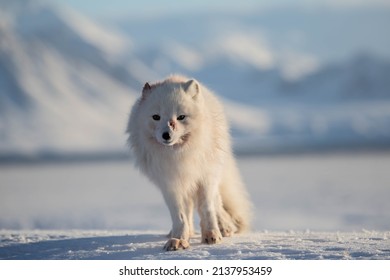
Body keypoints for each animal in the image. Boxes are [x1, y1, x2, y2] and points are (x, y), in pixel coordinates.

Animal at [126, 75, 251, 250]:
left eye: (181, 117)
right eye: (156, 117)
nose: (166, 135)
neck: (179, 155)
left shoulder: (205, 177)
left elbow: (207, 207)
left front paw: (211, 235)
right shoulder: (169, 183)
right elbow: (179, 214)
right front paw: (179, 239)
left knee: (216, 202)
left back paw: (224, 227)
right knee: (189, 208)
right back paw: (186, 232)